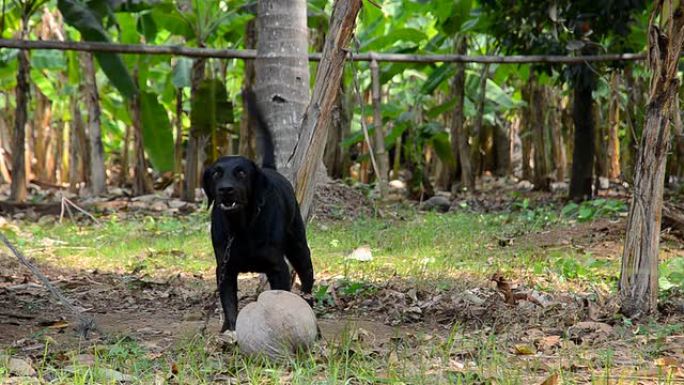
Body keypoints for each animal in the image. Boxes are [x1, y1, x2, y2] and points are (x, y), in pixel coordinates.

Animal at [199, 91, 314, 332]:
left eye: (241, 172)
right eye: (216, 173)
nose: (225, 190)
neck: (242, 227)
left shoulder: (277, 267)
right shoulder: (224, 269)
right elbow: (229, 304)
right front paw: (230, 329)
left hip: (298, 246)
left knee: (307, 276)